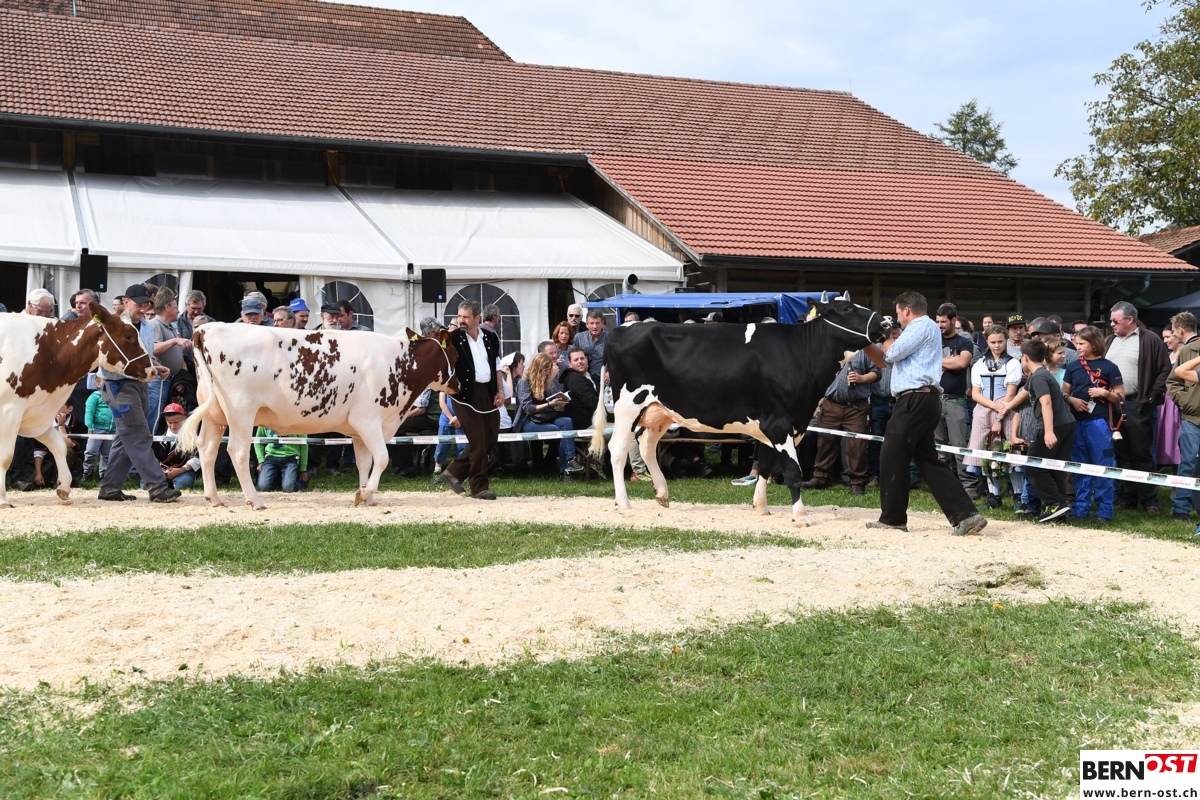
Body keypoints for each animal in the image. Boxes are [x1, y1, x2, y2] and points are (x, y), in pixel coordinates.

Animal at [0, 302, 157, 507]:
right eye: (129, 336)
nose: (153, 370)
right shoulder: (10, 411)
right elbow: (5, 457)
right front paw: (3, 499)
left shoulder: (37, 416)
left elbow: (59, 445)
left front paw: (64, 488)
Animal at [176, 324, 458, 510]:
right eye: (456, 355)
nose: (459, 386)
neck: (398, 364)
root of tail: (207, 328)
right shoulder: (368, 421)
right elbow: (382, 458)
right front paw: (365, 494)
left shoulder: (358, 429)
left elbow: (364, 462)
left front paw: (366, 495)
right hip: (241, 411)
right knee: (237, 451)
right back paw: (255, 500)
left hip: (215, 414)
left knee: (207, 449)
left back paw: (214, 498)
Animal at [589, 293, 885, 525]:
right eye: (847, 310)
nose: (886, 322)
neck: (799, 354)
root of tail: (621, 329)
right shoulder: (780, 423)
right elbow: (793, 472)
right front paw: (801, 516)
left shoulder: (777, 423)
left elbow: (764, 465)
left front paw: (761, 507)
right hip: (628, 404)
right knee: (618, 449)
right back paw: (624, 504)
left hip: (659, 410)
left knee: (647, 444)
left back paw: (662, 494)